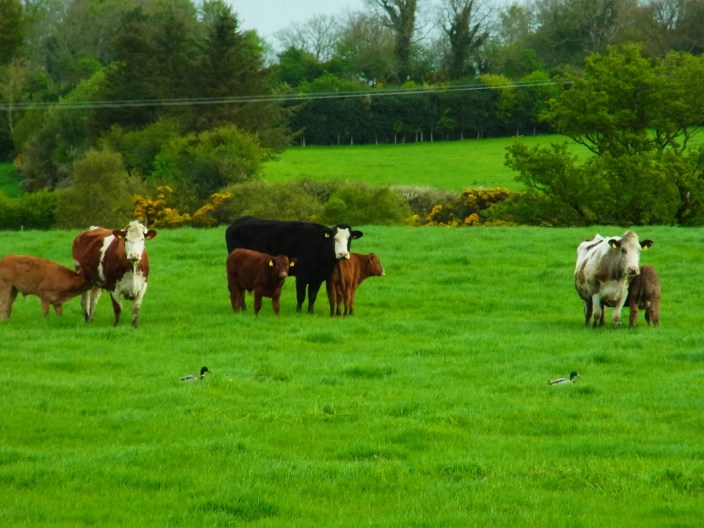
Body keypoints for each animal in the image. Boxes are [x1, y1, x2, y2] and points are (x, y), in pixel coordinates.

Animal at [225, 216, 363, 313]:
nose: (343, 254)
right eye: (334, 239)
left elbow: (312, 296)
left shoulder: (318, 277)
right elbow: (301, 295)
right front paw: (298, 311)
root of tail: (237, 222)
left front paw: (310, 312)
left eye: (350, 239)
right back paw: (242, 308)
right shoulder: (301, 275)